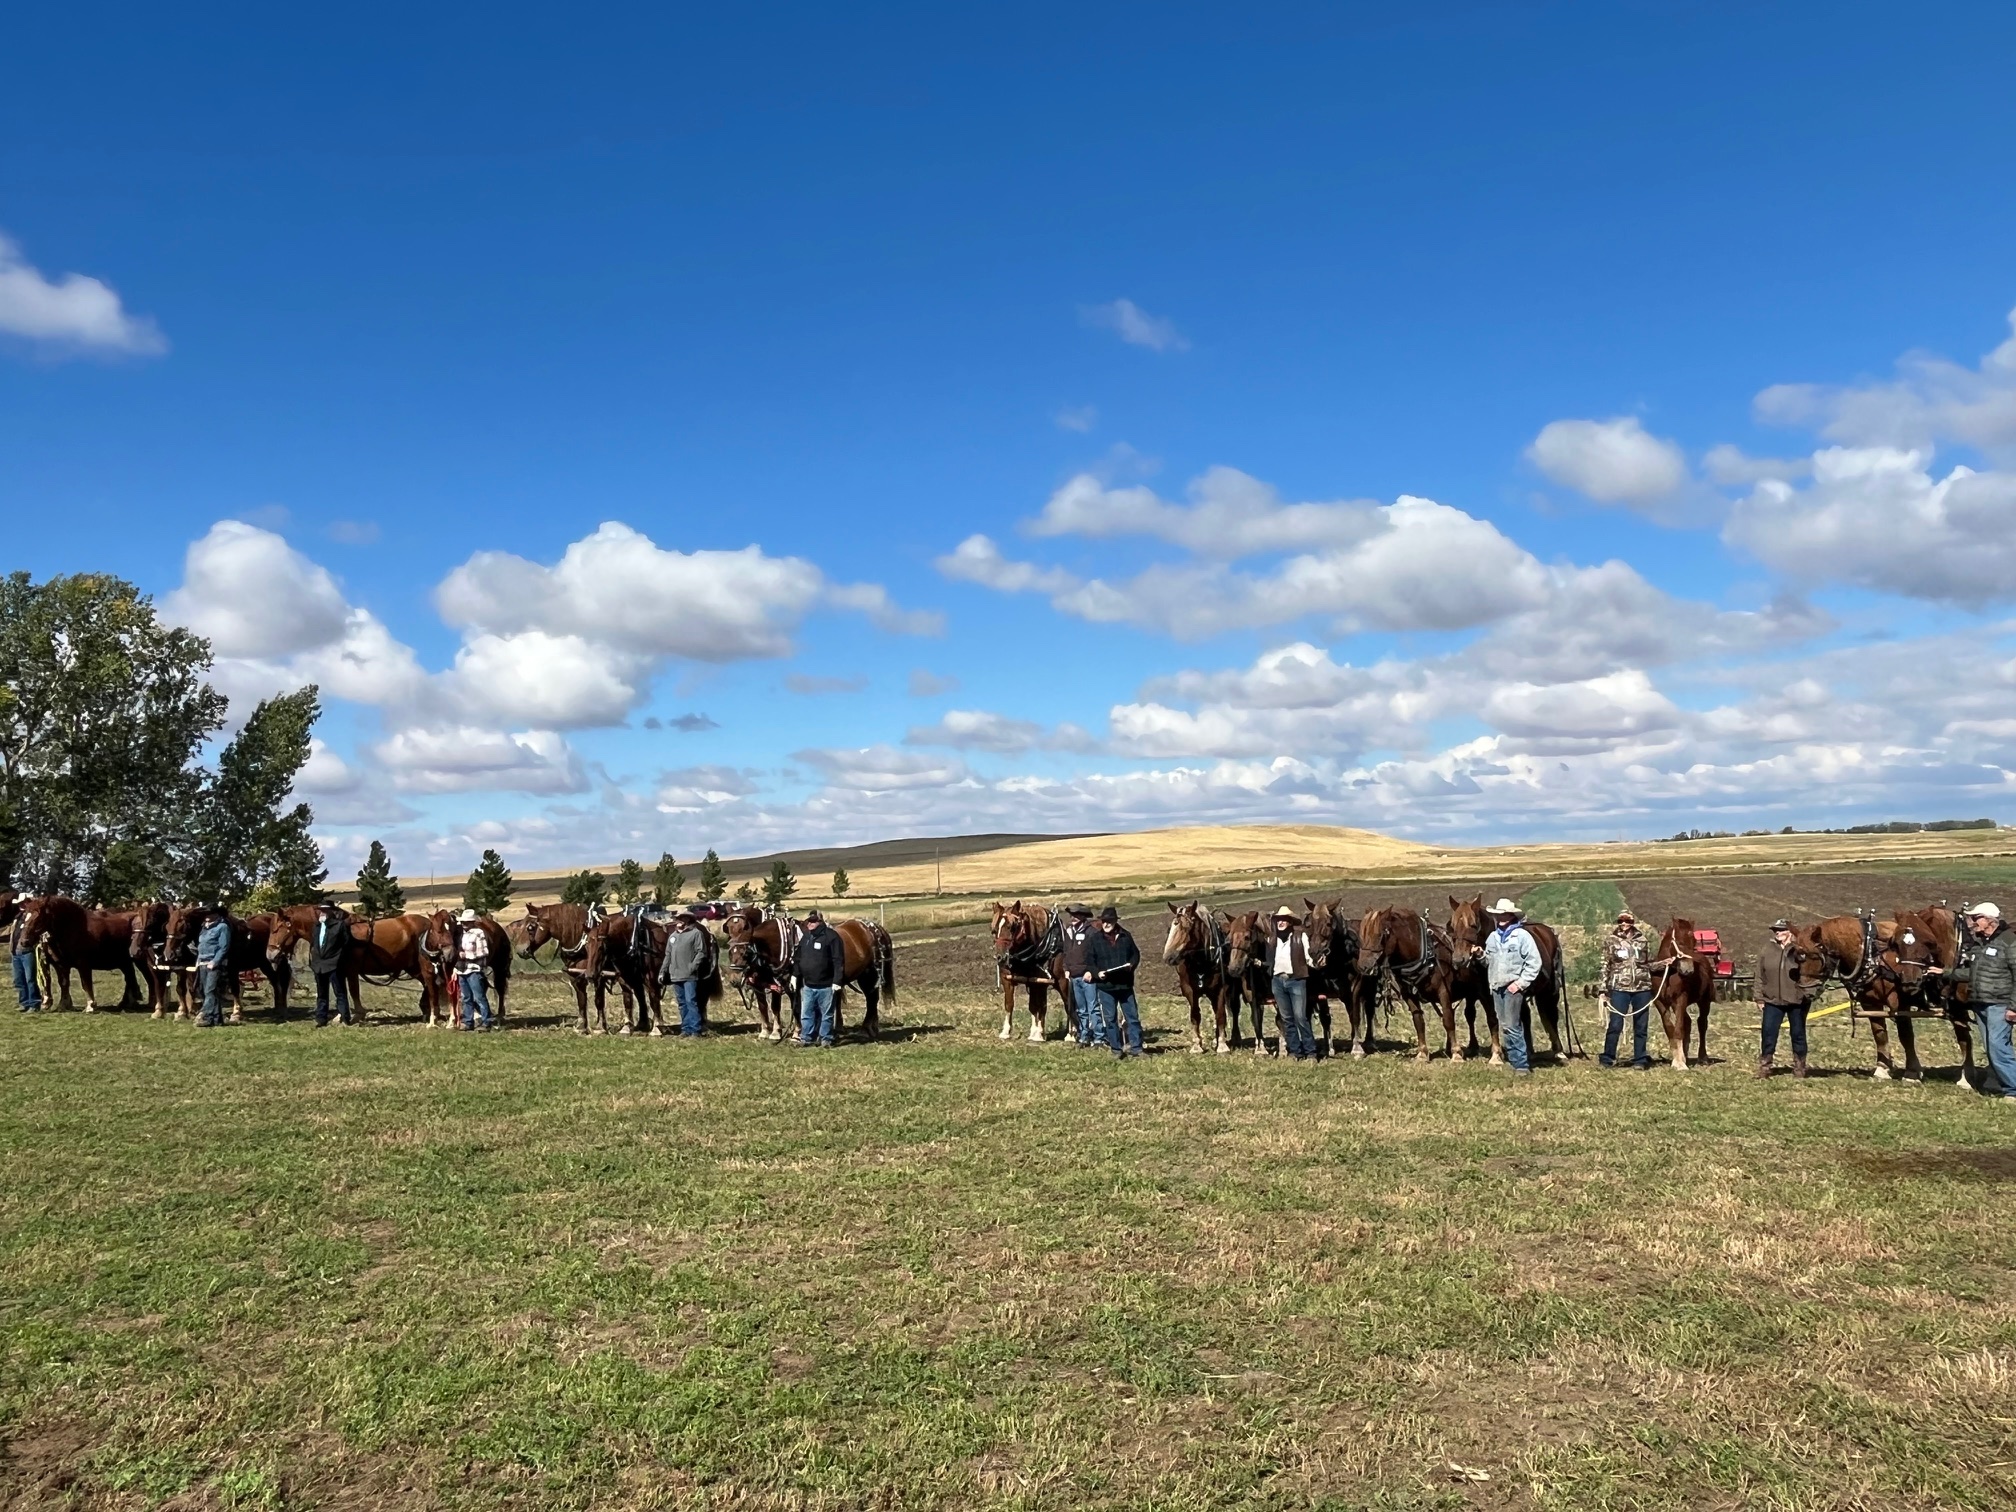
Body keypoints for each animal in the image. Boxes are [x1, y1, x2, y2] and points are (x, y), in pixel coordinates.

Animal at [15, 896, 145, 1011]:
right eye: (25, 917)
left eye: (39, 918)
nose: (23, 941)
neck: (71, 928)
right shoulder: (61, 965)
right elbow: (64, 983)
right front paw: (63, 1005)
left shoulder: (83, 964)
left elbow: (86, 983)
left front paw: (90, 1006)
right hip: (124, 961)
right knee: (129, 977)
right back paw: (127, 1003)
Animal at [988, 901, 1071, 1043]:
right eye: (994, 929)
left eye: (1012, 927)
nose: (1000, 957)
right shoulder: (1009, 979)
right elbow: (1012, 1004)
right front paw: (1006, 1032)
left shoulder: (1041, 982)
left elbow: (1040, 1006)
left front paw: (1038, 1034)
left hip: (1063, 982)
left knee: (1069, 1003)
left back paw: (1071, 1033)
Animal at [1162, 900, 1231, 1054]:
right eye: (1170, 928)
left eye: (1187, 928)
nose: (1168, 957)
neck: (1202, 962)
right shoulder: (1189, 990)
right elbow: (1195, 1016)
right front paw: (1197, 1045)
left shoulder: (1220, 989)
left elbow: (1220, 1015)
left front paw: (1222, 1045)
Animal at [1357, 905, 1462, 1060]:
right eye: (1362, 935)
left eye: (1381, 935)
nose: (1363, 966)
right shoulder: (1408, 995)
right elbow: (1418, 1021)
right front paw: (1422, 1053)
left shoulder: (1443, 992)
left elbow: (1448, 1021)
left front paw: (1456, 1053)